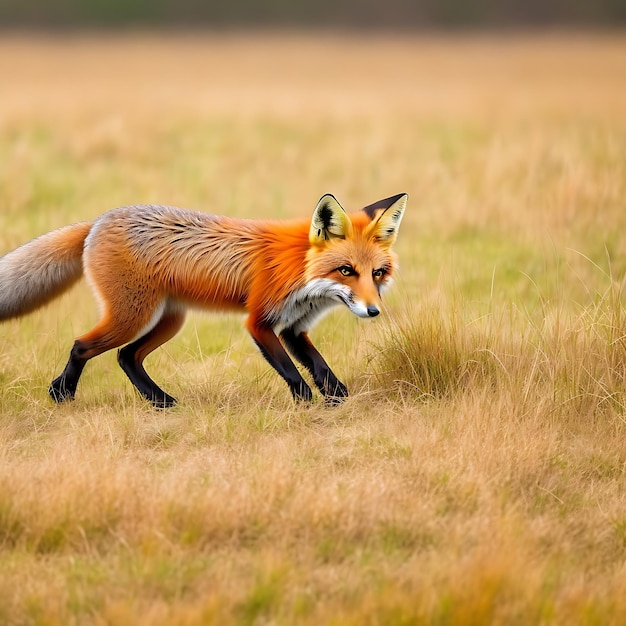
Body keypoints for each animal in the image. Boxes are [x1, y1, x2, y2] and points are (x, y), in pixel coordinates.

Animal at [0, 193, 404, 408]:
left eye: (377, 273)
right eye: (346, 270)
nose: (373, 311)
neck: (302, 276)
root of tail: (98, 221)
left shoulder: (294, 328)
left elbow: (323, 371)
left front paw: (340, 403)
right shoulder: (259, 322)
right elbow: (294, 375)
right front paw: (308, 408)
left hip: (168, 321)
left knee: (126, 356)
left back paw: (160, 402)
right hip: (132, 316)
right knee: (82, 346)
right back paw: (62, 394)